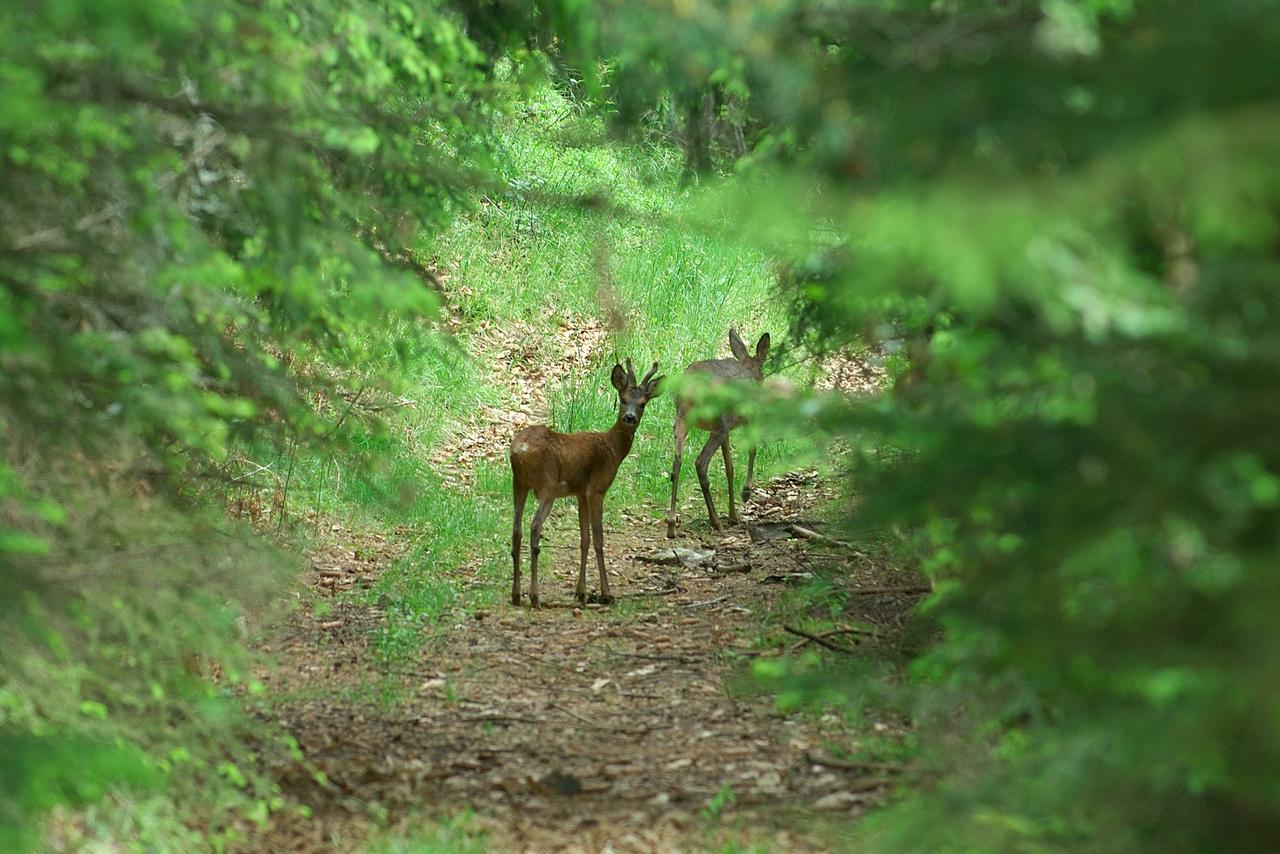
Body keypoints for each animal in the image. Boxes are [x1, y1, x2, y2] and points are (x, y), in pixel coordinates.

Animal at [506, 358, 665, 606]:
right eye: (623, 399)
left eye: (643, 404)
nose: (630, 417)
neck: (613, 449)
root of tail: (519, 449)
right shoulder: (597, 489)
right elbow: (598, 539)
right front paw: (606, 593)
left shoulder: (580, 492)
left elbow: (584, 538)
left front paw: (580, 592)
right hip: (547, 486)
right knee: (534, 527)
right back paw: (534, 595)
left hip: (519, 484)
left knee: (516, 529)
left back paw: (516, 595)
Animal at [670, 330, 768, 537]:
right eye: (763, 372)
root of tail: (692, 390)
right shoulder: (747, 418)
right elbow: (752, 450)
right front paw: (745, 493)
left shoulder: (727, 431)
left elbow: (729, 468)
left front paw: (733, 515)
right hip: (718, 422)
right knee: (700, 462)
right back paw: (715, 521)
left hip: (682, 420)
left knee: (677, 463)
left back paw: (672, 523)